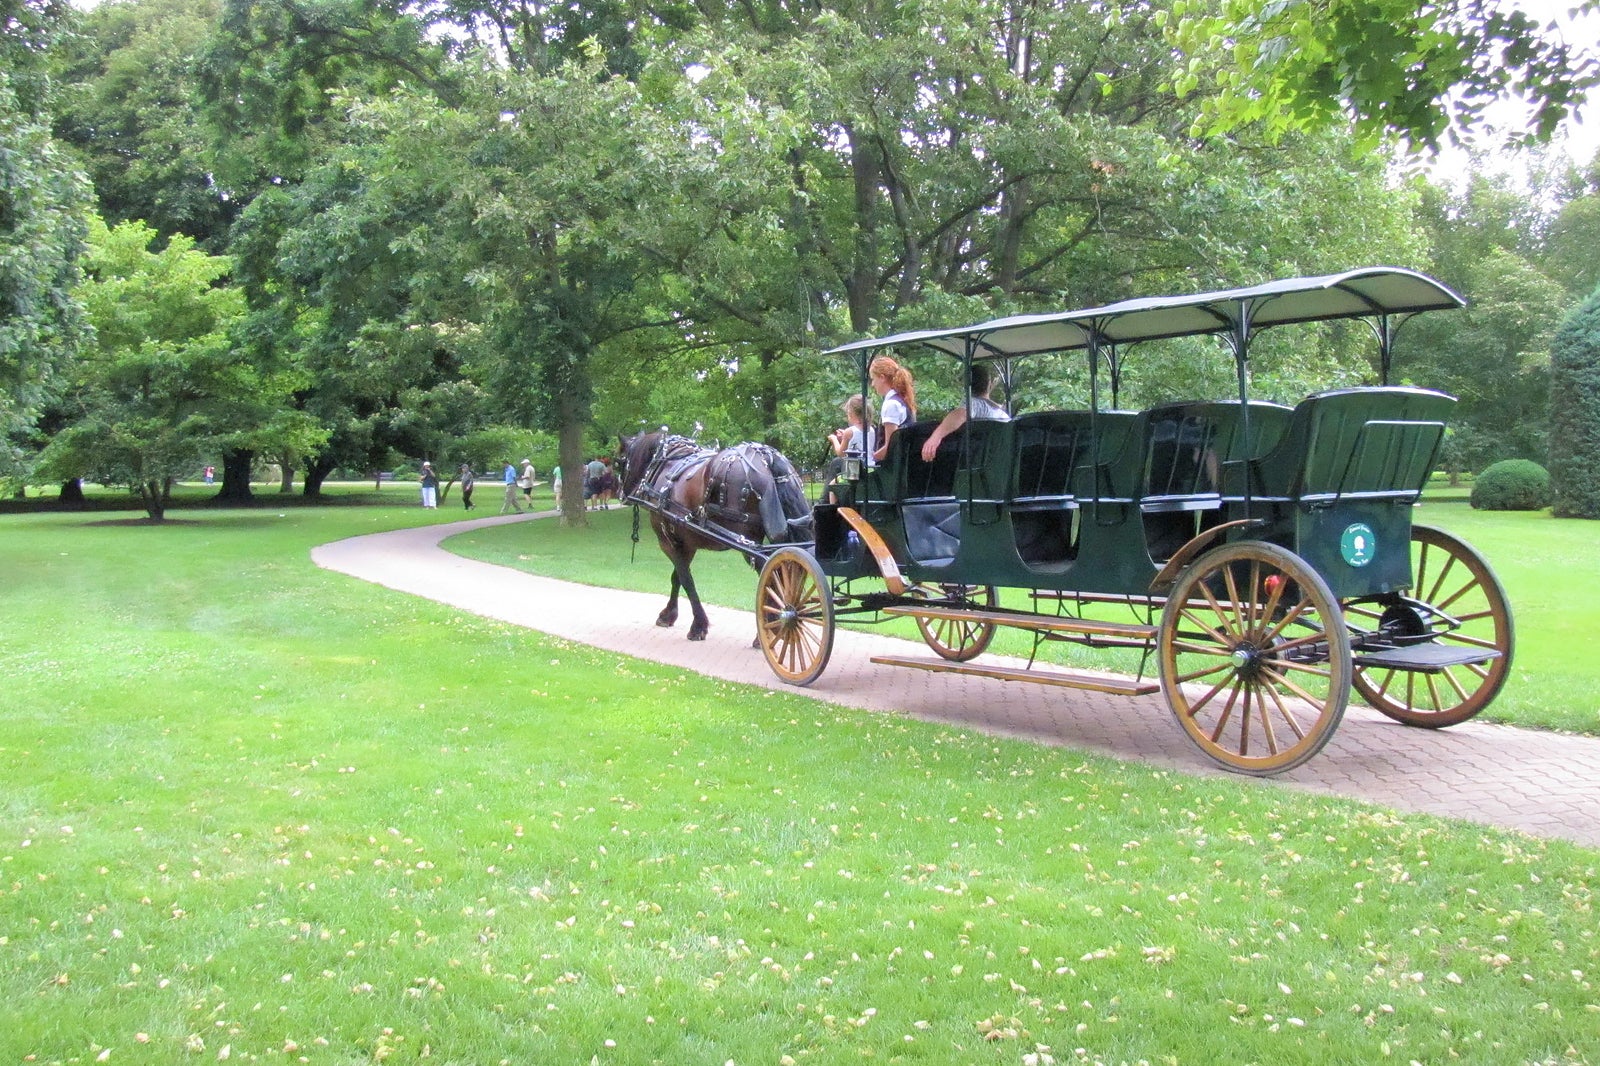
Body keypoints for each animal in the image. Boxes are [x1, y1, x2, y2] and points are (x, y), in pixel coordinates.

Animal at [611, 428, 812, 640]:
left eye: (617, 462)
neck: (666, 463)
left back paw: (768, 630)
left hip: (750, 544)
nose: (620, 493)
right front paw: (669, 615)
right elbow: (677, 577)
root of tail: (766, 456)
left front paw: (698, 625)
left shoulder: (668, 541)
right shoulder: (686, 543)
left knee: (772, 577)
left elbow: (686, 579)